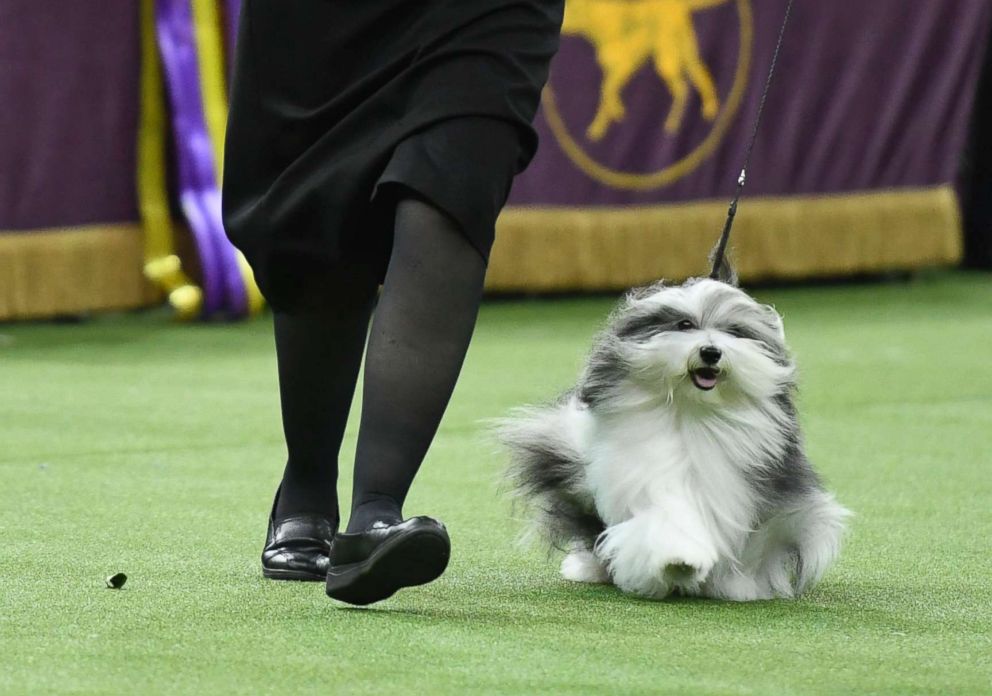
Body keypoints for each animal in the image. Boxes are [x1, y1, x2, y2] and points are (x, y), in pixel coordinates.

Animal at [500, 270, 848, 600]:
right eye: (684, 324)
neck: (692, 414)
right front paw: (680, 561)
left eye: (733, 331)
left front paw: (739, 586)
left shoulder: (755, 491)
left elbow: (757, 538)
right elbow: (669, 517)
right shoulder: (649, 476)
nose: (710, 352)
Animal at [560, 0, 728, 139]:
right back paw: (709, 107)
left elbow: (607, 91)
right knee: (699, 75)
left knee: (683, 88)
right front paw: (606, 120)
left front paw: (613, 115)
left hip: (666, 61)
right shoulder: (612, 70)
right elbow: (606, 93)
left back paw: (673, 123)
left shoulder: (624, 66)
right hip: (685, 54)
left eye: (570, 9)